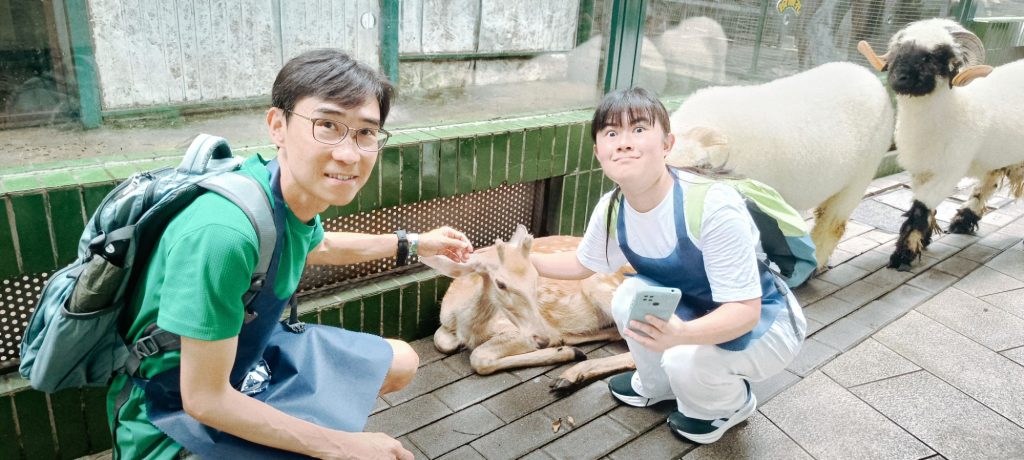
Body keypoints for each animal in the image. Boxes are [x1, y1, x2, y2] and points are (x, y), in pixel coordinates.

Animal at [420, 224, 636, 391]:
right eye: (500, 283)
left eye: (536, 276)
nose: (543, 338)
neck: (469, 328)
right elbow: (441, 340)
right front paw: (565, 348)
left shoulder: (515, 330)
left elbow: (478, 357)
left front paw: (565, 352)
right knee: (617, 334)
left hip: (603, 288)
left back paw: (569, 374)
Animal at [858, 18, 1024, 270]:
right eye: (898, 52)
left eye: (932, 57)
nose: (899, 78)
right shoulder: (921, 171)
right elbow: (928, 211)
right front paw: (924, 241)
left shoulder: (947, 172)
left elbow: (920, 211)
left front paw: (903, 256)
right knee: (988, 183)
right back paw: (962, 221)